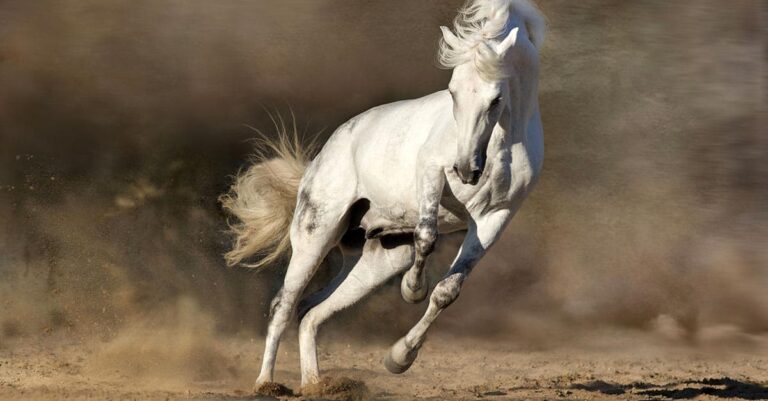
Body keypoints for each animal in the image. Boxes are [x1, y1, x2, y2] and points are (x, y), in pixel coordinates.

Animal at [220, 0, 546, 389]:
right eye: (452, 92)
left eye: (495, 99)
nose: (466, 170)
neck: (501, 144)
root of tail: (321, 157)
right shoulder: (431, 172)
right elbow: (427, 236)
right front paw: (411, 290)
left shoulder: (495, 218)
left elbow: (447, 290)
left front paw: (399, 359)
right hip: (316, 234)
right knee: (283, 305)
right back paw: (265, 383)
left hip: (381, 258)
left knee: (311, 311)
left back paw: (315, 384)